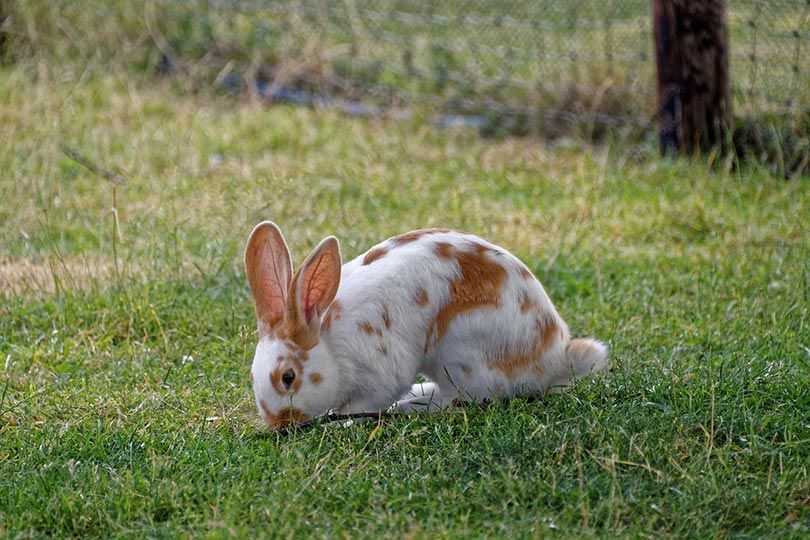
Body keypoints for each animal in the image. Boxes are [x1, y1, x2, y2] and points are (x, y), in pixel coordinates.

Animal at [245, 221, 608, 430]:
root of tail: (555, 358)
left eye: (288, 378)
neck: (329, 341)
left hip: (460, 354)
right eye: (252, 376)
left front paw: (342, 423)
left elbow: (365, 402)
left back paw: (412, 406)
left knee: (468, 400)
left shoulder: (382, 373)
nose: (278, 424)